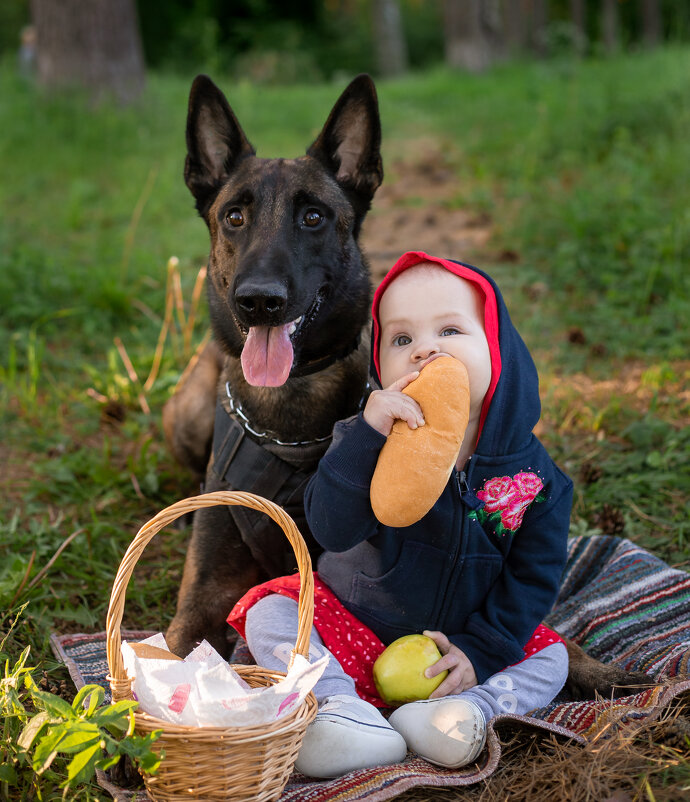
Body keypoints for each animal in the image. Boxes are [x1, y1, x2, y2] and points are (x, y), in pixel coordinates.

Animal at [163, 75, 652, 696]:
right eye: (233, 217)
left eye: (314, 217)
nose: (260, 300)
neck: (289, 414)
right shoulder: (200, 604)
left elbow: (546, 628)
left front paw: (594, 666)